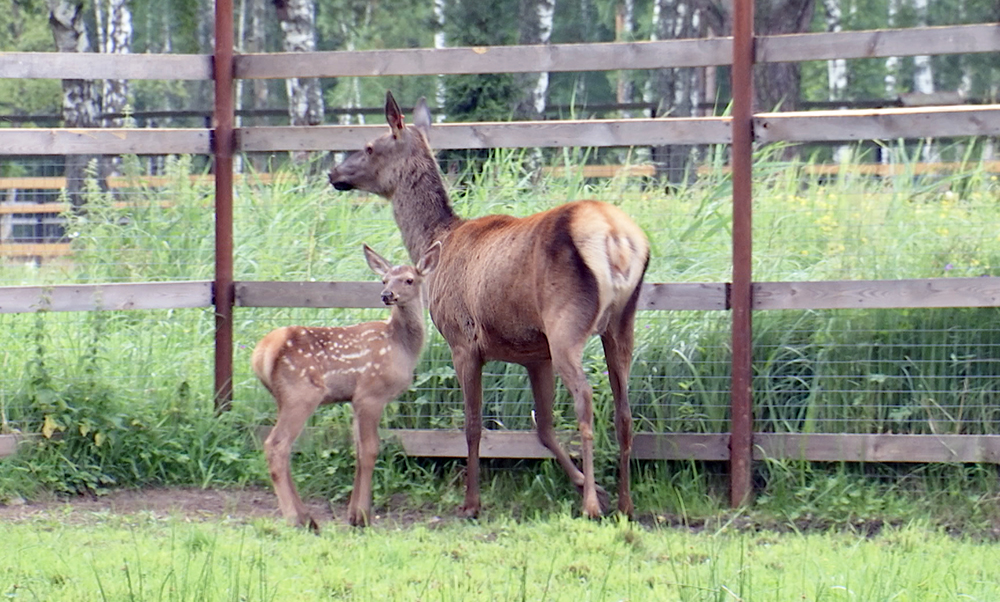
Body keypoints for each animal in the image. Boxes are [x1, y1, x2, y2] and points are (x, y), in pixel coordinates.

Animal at [250, 240, 438, 528]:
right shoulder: (371, 393)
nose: (387, 295)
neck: (402, 346)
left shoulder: (353, 399)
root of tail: (262, 352)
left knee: (284, 448)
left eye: (409, 279)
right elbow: (370, 450)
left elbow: (358, 449)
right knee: (276, 445)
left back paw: (308, 517)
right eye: (383, 279)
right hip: (301, 393)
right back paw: (295, 518)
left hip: (282, 397)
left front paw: (353, 514)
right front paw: (363, 516)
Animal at [332, 91, 652, 516]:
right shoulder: (535, 353)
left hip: (567, 324)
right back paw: (625, 503)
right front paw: (590, 483)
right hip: (622, 320)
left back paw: (591, 508)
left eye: (369, 146)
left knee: (586, 400)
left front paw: (471, 502)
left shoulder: (463, 340)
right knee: (624, 411)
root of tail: (617, 239)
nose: (334, 173)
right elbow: (543, 427)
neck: (438, 240)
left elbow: (472, 425)